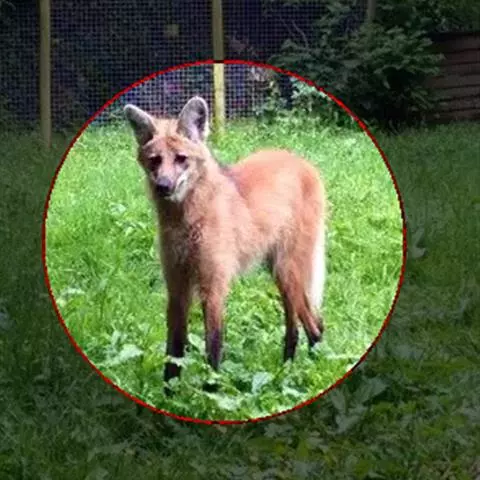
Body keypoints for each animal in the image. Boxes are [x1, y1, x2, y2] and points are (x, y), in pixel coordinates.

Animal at [124, 96, 327, 390]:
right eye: (155, 161)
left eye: (181, 159)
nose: (163, 186)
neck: (187, 220)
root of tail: (302, 162)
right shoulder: (177, 286)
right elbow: (174, 350)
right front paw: (168, 394)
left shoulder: (213, 287)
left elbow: (213, 348)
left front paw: (211, 393)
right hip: (279, 273)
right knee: (296, 325)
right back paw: (285, 370)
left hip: (288, 270)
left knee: (314, 325)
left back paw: (313, 371)